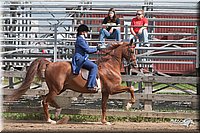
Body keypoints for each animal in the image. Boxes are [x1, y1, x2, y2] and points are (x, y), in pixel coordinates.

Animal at [5, 41, 138, 124]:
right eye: (131, 51)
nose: (135, 64)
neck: (110, 65)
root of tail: (50, 64)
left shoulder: (105, 92)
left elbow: (104, 106)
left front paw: (104, 122)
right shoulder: (113, 88)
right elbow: (131, 89)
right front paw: (129, 104)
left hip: (59, 88)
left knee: (45, 98)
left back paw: (58, 111)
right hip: (56, 89)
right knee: (45, 100)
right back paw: (50, 120)